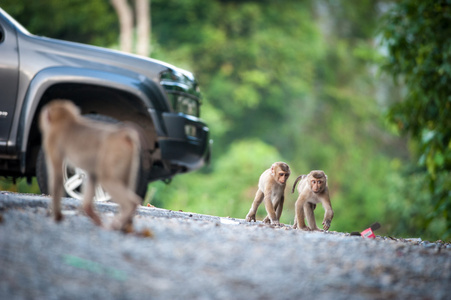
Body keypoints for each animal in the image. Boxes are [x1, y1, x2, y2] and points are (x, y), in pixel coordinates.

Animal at [40, 99, 144, 231]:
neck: (65, 120)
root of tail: (123, 135)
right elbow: (92, 175)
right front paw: (92, 214)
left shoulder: (52, 141)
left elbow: (57, 177)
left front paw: (57, 216)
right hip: (128, 160)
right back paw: (126, 225)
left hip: (113, 154)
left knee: (107, 180)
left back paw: (119, 222)